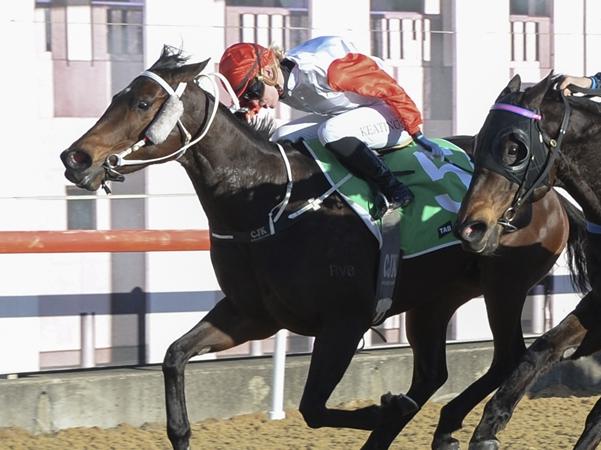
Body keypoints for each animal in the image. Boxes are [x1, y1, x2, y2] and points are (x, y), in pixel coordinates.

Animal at [61, 46, 580, 450]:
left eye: (143, 102)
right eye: (116, 96)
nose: (75, 157)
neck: (265, 202)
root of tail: (553, 194)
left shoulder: (344, 323)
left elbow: (313, 407)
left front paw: (385, 409)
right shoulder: (251, 314)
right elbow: (173, 356)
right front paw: (181, 430)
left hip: (503, 285)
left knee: (508, 356)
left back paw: (447, 422)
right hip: (434, 299)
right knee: (432, 374)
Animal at [454, 72, 600, 448]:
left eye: (515, 148)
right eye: (479, 141)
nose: (471, 228)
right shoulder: (598, 304)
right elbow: (542, 347)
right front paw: (487, 429)